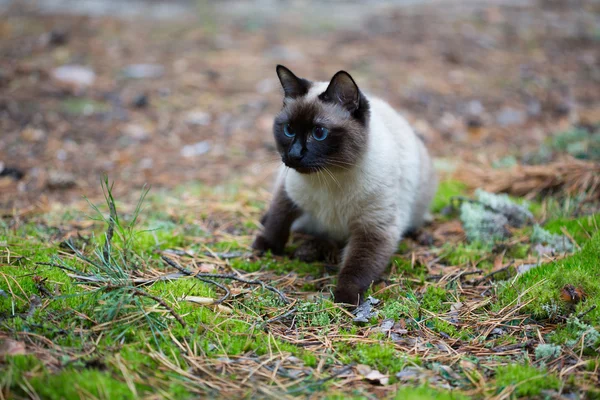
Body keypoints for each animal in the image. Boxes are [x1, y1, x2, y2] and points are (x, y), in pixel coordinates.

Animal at [253, 65, 436, 304]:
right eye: (289, 130)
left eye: (319, 133)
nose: (294, 155)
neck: (329, 178)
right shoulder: (288, 193)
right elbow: (278, 219)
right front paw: (264, 247)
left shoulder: (373, 229)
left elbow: (357, 267)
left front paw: (344, 298)